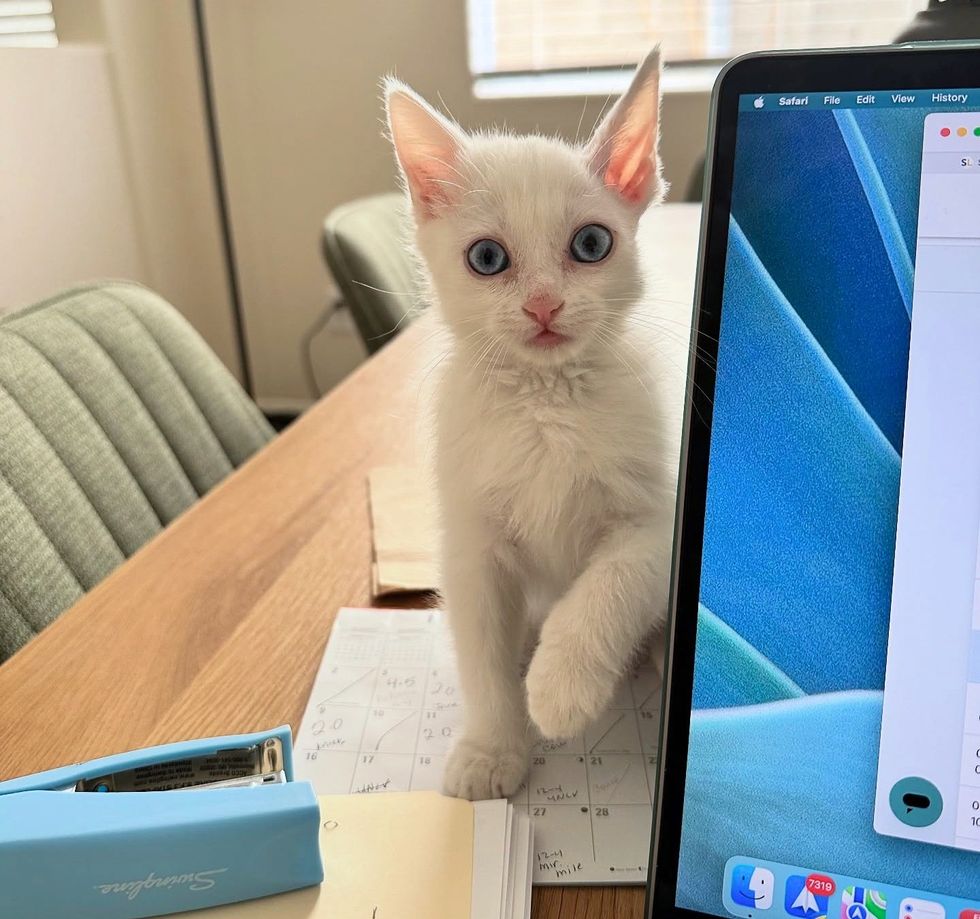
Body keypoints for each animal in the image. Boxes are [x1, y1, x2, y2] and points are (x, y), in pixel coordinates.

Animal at [386, 48, 676, 796]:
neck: (546, 402)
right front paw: (493, 748)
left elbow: (611, 581)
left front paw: (561, 687)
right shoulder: (470, 541)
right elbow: (480, 646)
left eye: (592, 242)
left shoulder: (663, 521)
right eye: (487, 258)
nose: (544, 304)